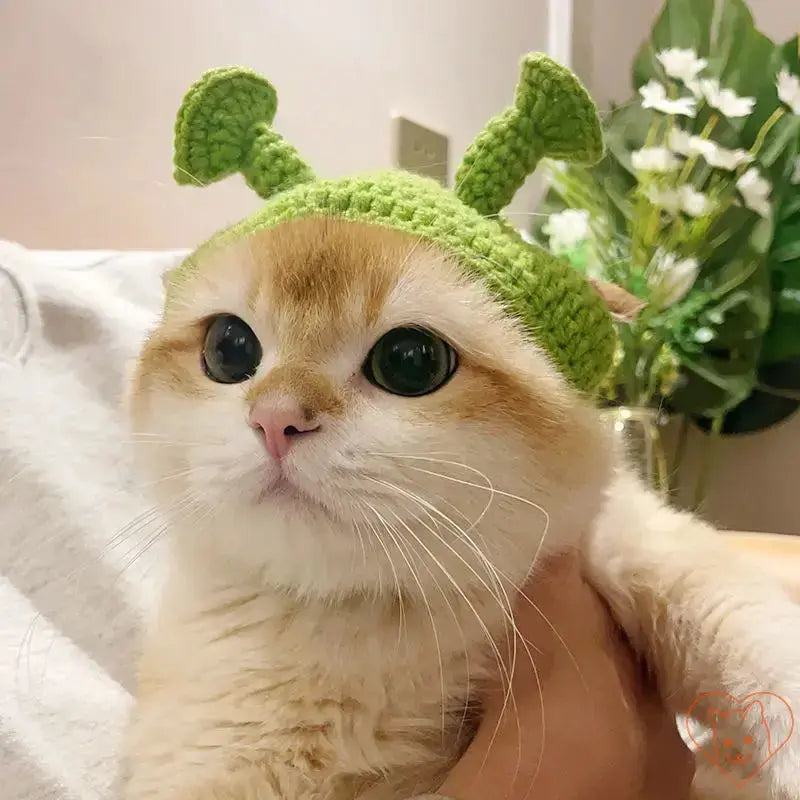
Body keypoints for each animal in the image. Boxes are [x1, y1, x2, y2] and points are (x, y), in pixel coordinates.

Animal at [123, 217, 800, 800]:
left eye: (410, 360)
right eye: (229, 349)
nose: (275, 419)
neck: (371, 616)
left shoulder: (618, 533)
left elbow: (738, 618)